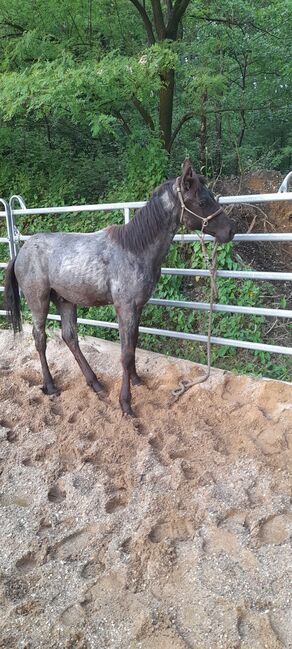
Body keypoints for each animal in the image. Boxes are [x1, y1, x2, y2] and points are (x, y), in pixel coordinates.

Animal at [5, 159, 235, 418]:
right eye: (202, 201)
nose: (231, 230)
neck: (135, 249)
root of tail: (21, 252)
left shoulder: (137, 307)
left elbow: (133, 345)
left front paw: (137, 380)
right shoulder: (125, 307)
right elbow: (125, 355)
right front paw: (126, 404)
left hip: (65, 300)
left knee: (70, 338)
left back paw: (95, 383)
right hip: (39, 301)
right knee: (40, 339)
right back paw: (51, 386)